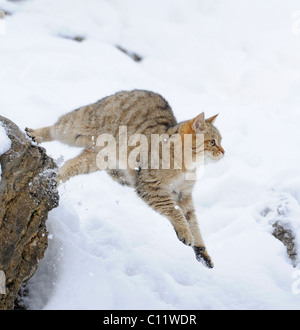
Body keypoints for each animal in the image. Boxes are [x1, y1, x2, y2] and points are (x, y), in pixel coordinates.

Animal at [25, 90, 224, 268]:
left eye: (220, 141)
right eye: (213, 142)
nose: (224, 151)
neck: (188, 165)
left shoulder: (184, 195)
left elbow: (193, 222)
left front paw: (201, 250)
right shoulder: (151, 187)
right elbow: (174, 211)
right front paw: (185, 233)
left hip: (94, 160)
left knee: (70, 165)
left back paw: (55, 177)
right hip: (76, 127)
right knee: (56, 128)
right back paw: (36, 134)